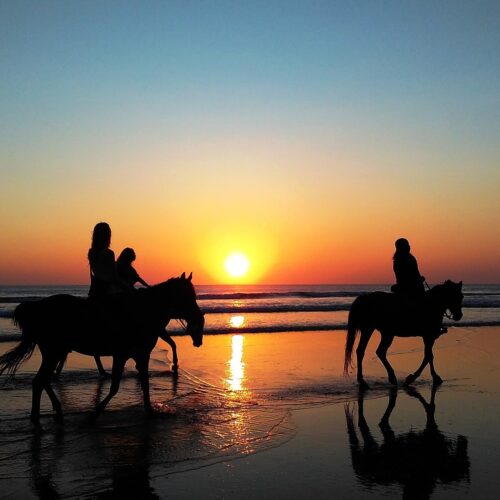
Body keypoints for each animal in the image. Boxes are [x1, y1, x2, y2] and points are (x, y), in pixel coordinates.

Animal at [0, 272, 205, 424]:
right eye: (188, 296)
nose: (199, 319)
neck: (141, 311)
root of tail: (36, 308)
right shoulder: (122, 355)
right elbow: (115, 386)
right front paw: (95, 412)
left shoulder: (141, 355)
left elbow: (145, 384)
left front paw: (149, 410)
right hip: (53, 352)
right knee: (40, 381)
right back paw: (40, 416)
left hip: (55, 352)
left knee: (43, 381)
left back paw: (53, 411)